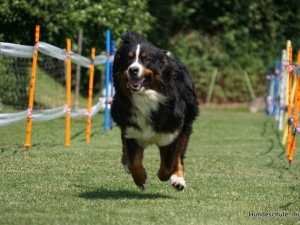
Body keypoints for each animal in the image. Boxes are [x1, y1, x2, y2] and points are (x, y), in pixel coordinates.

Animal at [110, 30, 199, 192]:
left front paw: (166, 176)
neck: (146, 96)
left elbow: (168, 165)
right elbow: (134, 161)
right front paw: (141, 180)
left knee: (179, 156)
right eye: (128, 59)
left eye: (146, 60)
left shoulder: (170, 133)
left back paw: (178, 179)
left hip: (186, 123)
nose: (133, 70)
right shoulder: (132, 129)